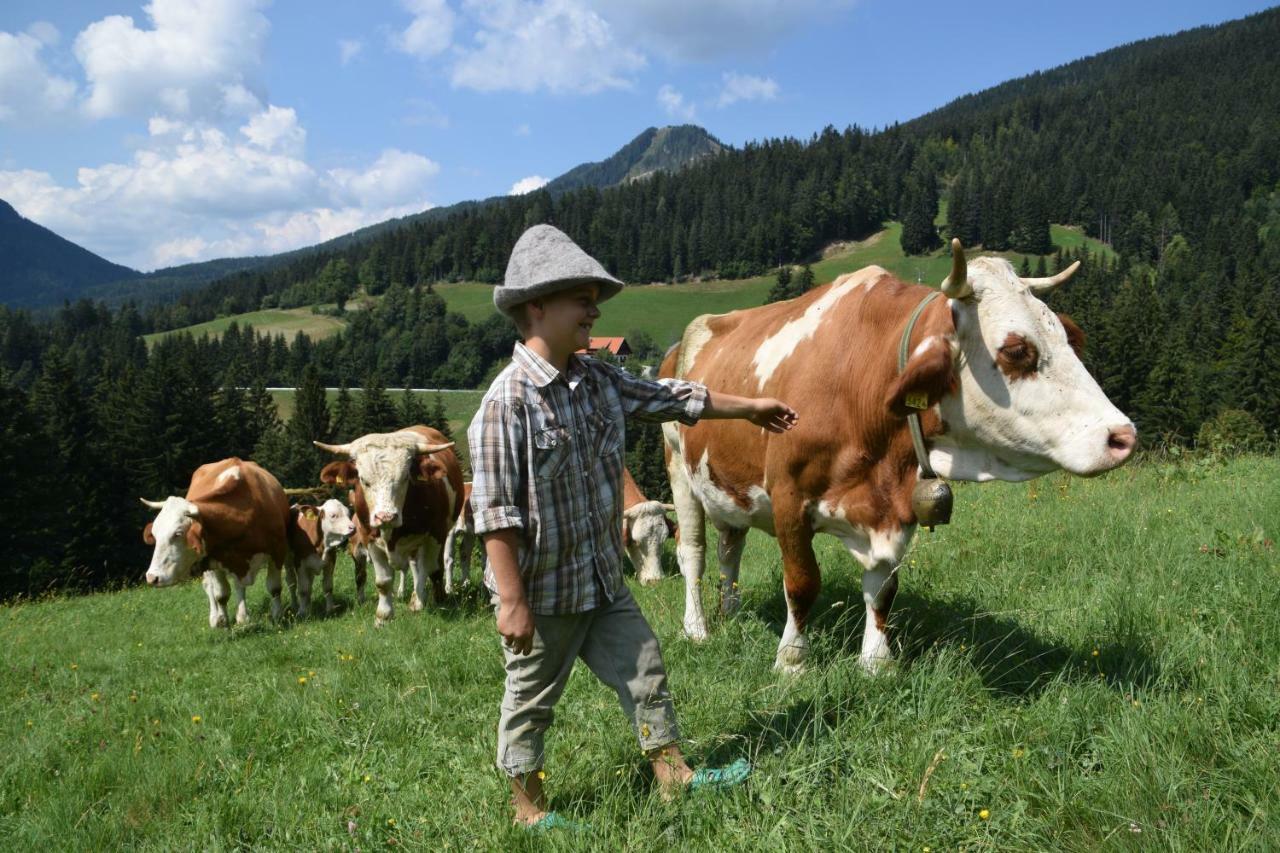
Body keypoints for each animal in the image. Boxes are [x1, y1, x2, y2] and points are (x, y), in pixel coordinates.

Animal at [142, 458, 293, 625]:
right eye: (155, 534)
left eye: (177, 533)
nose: (152, 577)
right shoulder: (213, 560)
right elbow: (221, 594)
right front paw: (223, 621)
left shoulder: (278, 550)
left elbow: (274, 587)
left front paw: (277, 615)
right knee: (210, 587)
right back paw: (216, 617)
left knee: (238, 586)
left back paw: (242, 616)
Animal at [316, 425, 465, 625]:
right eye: (363, 480)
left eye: (405, 478)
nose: (386, 516)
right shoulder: (370, 539)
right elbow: (383, 581)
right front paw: (383, 617)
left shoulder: (435, 535)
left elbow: (428, 569)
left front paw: (422, 602)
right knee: (415, 566)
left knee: (430, 568)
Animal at [665, 240, 1136, 671]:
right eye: (1017, 351)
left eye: (1066, 338)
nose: (1123, 436)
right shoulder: (788, 496)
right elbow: (801, 583)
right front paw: (792, 662)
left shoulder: (896, 505)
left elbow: (883, 589)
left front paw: (877, 662)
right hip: (679, 473)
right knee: (693, 553)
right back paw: (697, 628)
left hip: (725, 486)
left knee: (730, 549)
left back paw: (731, 612)